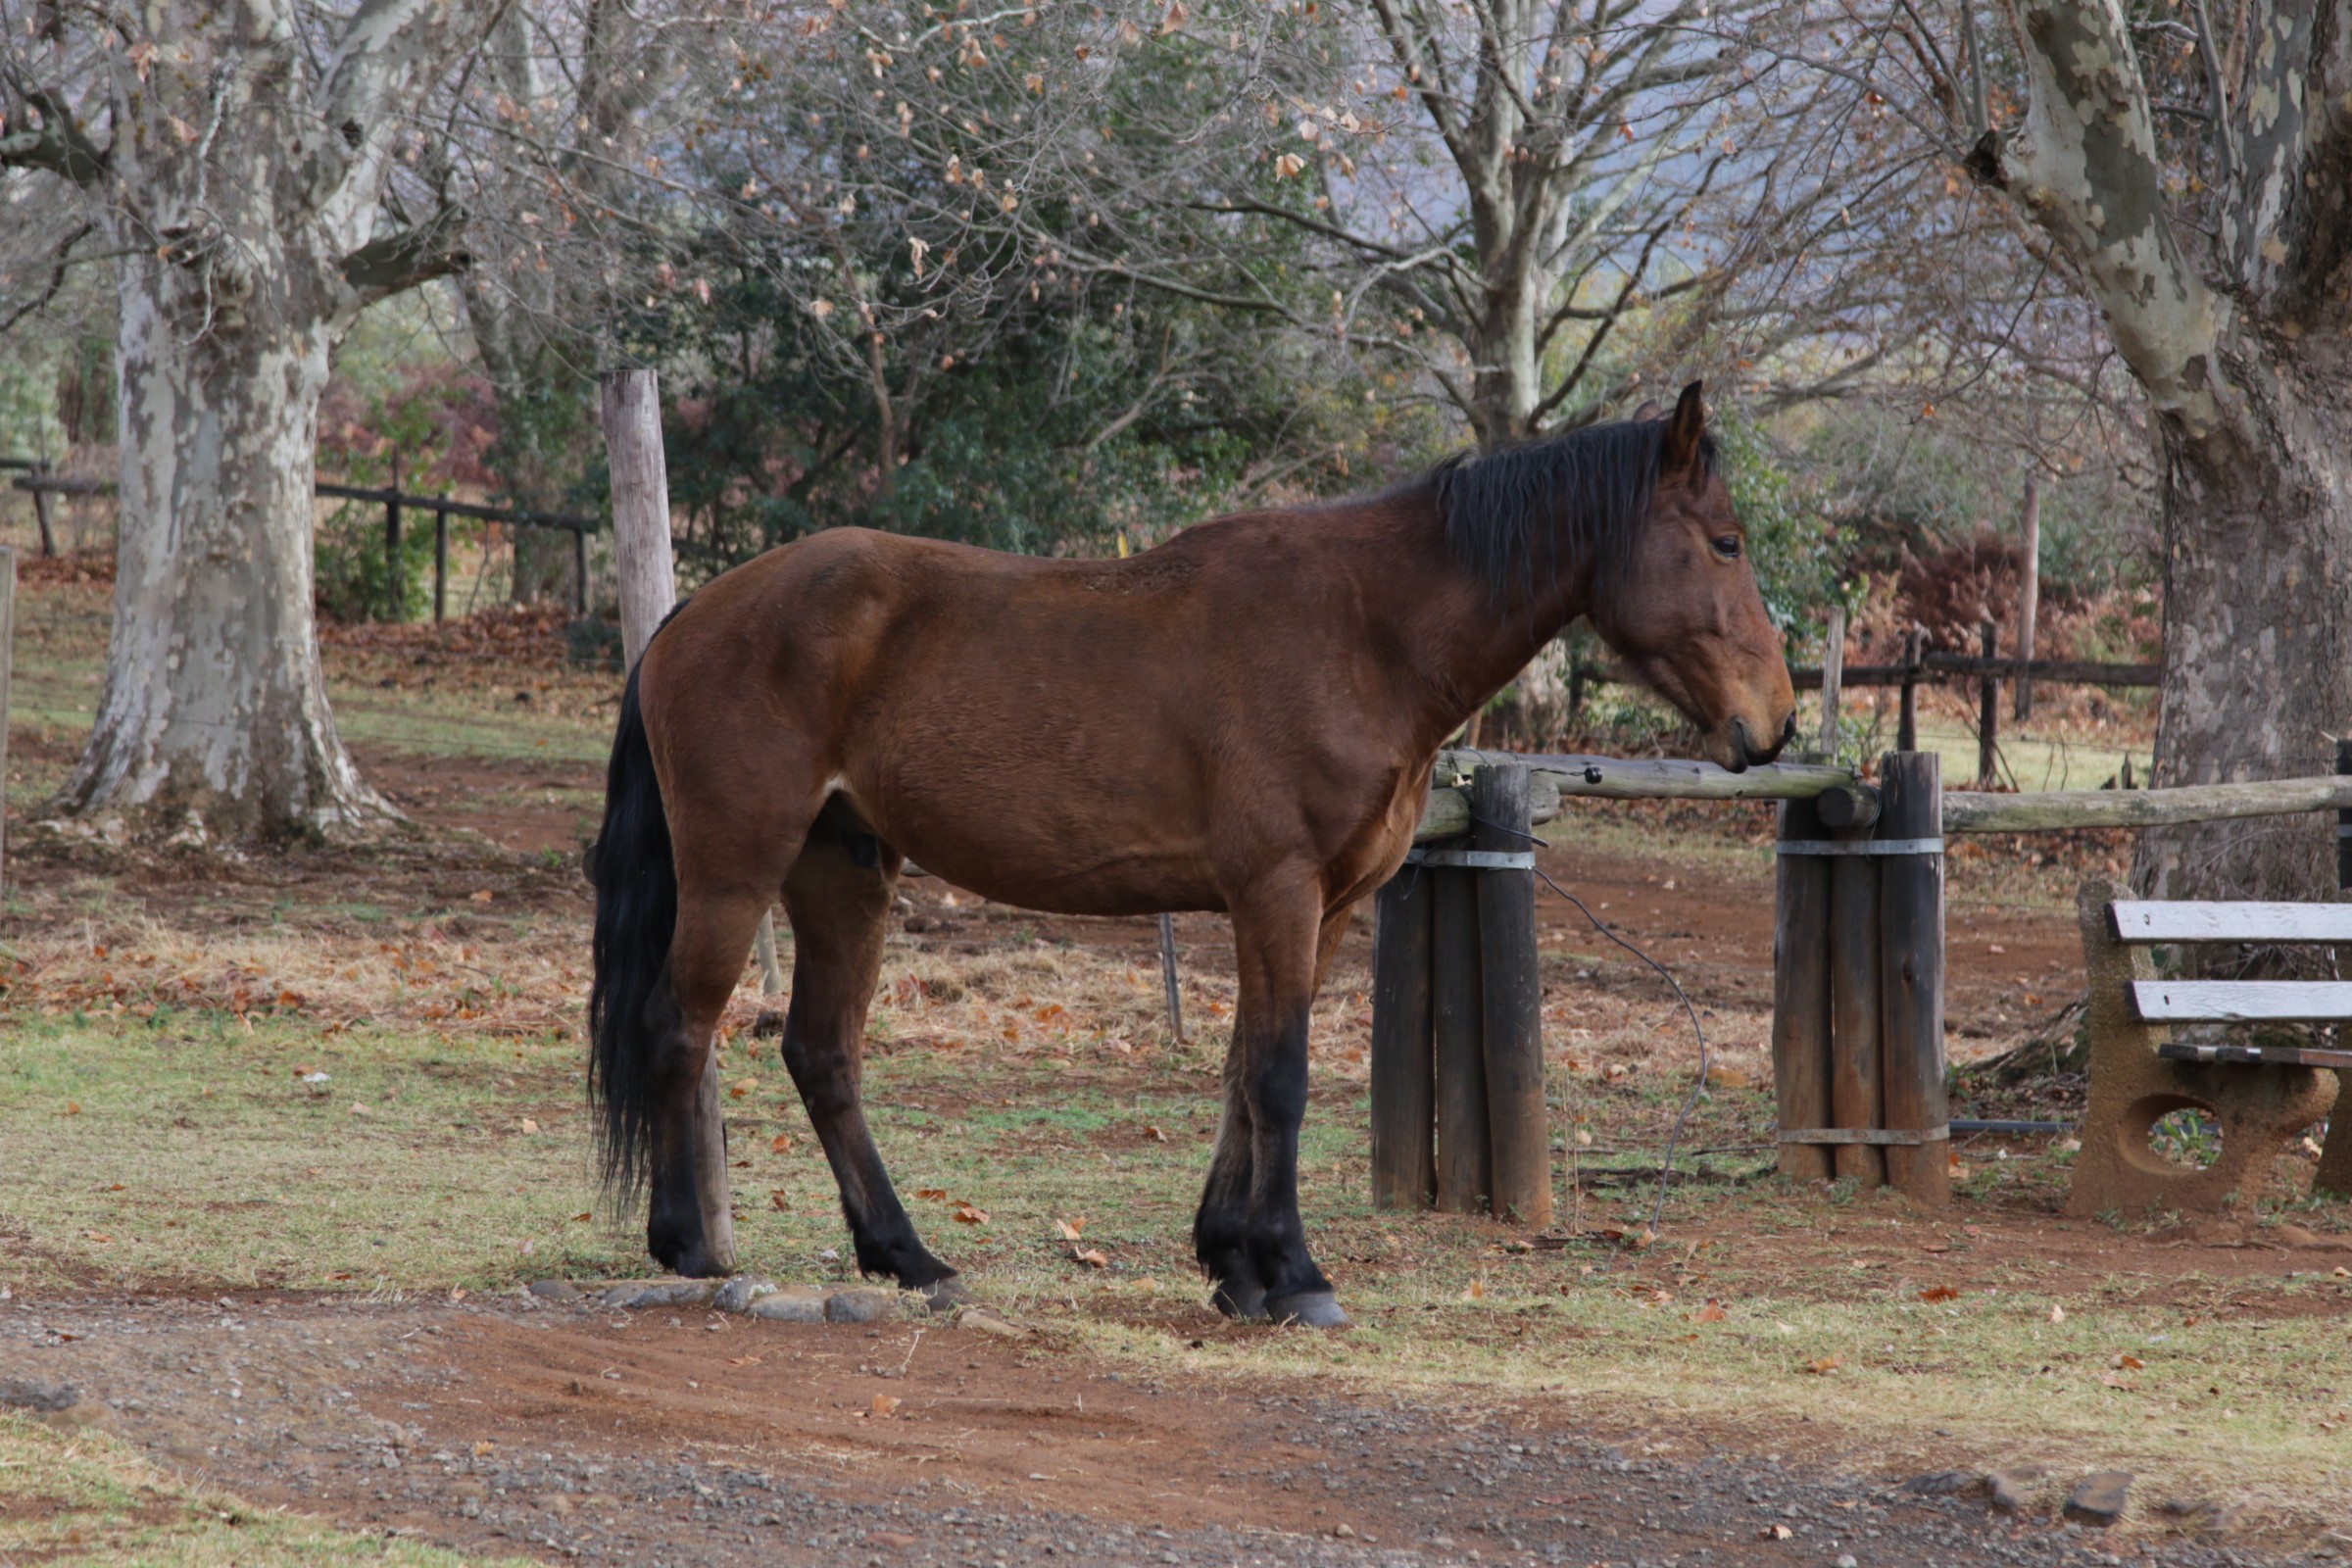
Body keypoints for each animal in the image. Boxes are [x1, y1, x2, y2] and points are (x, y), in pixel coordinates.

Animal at [597, 380, 1788, 1325]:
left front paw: (1233, 1262)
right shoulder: (1278, 892)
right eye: (1726, 541)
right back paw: (690, 1249)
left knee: (821, 1054)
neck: (1362, 631)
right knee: (678, 1028)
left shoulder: (1326, 905)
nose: (1773, 724)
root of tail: (694, 612)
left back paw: (909, 1257)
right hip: (736, 870)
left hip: (843, 870)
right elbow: (1280, 1076)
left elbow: (1239, 1072)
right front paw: (1295, 1275)